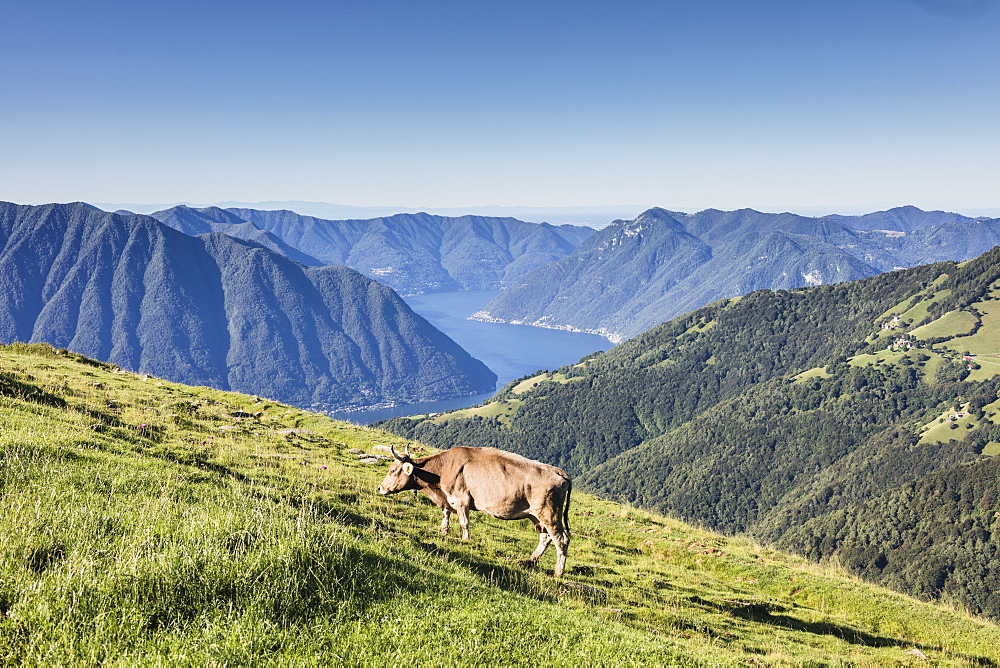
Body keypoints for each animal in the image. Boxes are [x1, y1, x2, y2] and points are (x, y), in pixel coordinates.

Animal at [378, 446, 576, 576]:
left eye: (392, 470)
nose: (380, 488)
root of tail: (560, 472)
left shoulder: (461, 499)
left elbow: (464, 522)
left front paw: (465, 540)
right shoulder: (449, 499)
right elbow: (446, 514)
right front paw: (443, 531)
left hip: (549, 513)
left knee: (561, 539)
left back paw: (558, 572)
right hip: (536, 516)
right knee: (545, 536)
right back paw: (529, 561)